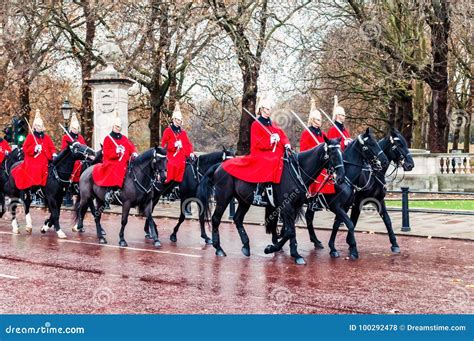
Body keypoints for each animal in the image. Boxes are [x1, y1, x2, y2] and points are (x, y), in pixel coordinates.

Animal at [198, 135, 346, 262]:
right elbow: (289, 231)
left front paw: (277, 249)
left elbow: (287, 231)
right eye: (333, 154)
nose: (341, 178)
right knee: (216, 219)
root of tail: (219, 165)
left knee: (238, 219)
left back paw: (246, 246)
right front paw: (292, 254)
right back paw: (219, 248)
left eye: (341, 153)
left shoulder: (293, 207)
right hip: (223, 198)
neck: (297, 171)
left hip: (244, 201)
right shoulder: (287, 207)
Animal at [300, 127, 388, 258]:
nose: (384, 161)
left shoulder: (344, 207)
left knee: (308, 217)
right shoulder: (337, 207)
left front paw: (333, 248)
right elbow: (350, 224)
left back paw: (316, 241)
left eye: (376, 142)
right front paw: (353, 249)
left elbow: (337, 225)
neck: (346, 177)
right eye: (369, 144)